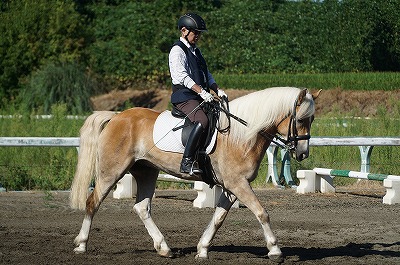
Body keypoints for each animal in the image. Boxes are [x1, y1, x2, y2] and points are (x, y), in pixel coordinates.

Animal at [68, 85, 318, 260]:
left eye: (312, 119)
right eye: (301, 119)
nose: (302, 153)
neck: (242, 135)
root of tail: (116, 116)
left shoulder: (233, 186)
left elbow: (218, 218)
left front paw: (202, 249)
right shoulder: (238, 183)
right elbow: (261, 213)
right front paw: (275, 250)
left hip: (146, 171)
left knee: (142, 207)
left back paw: (164, 248)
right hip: (111, 171)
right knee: (93, 202)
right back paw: (81, 245)